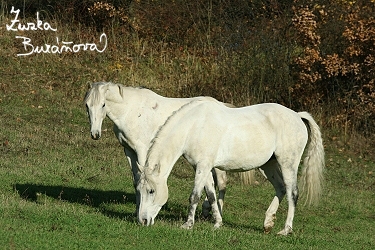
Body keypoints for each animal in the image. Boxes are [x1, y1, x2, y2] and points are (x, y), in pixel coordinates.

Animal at [84, 82, 254, 217]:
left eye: (103, 105)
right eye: (87, 105)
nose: (95, 134)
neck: (131, 111)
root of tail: (223, 106)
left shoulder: (142, 150)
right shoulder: (128, 151)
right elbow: (136, 180)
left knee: (221, 181)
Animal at [138, 99, 326, 234]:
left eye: (151, 191)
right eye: (139, 190)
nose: (142, 221)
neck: (193, 127)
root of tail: (297, 115)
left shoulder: (202, 167)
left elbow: (194, 196)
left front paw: (188, 224)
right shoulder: (205, 168)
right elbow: (211, 195)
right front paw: (218, 223)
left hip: (288, 164)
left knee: (292, 193)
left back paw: (286, 230)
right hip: (268, 165)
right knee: (280, 188)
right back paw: (267, 223)